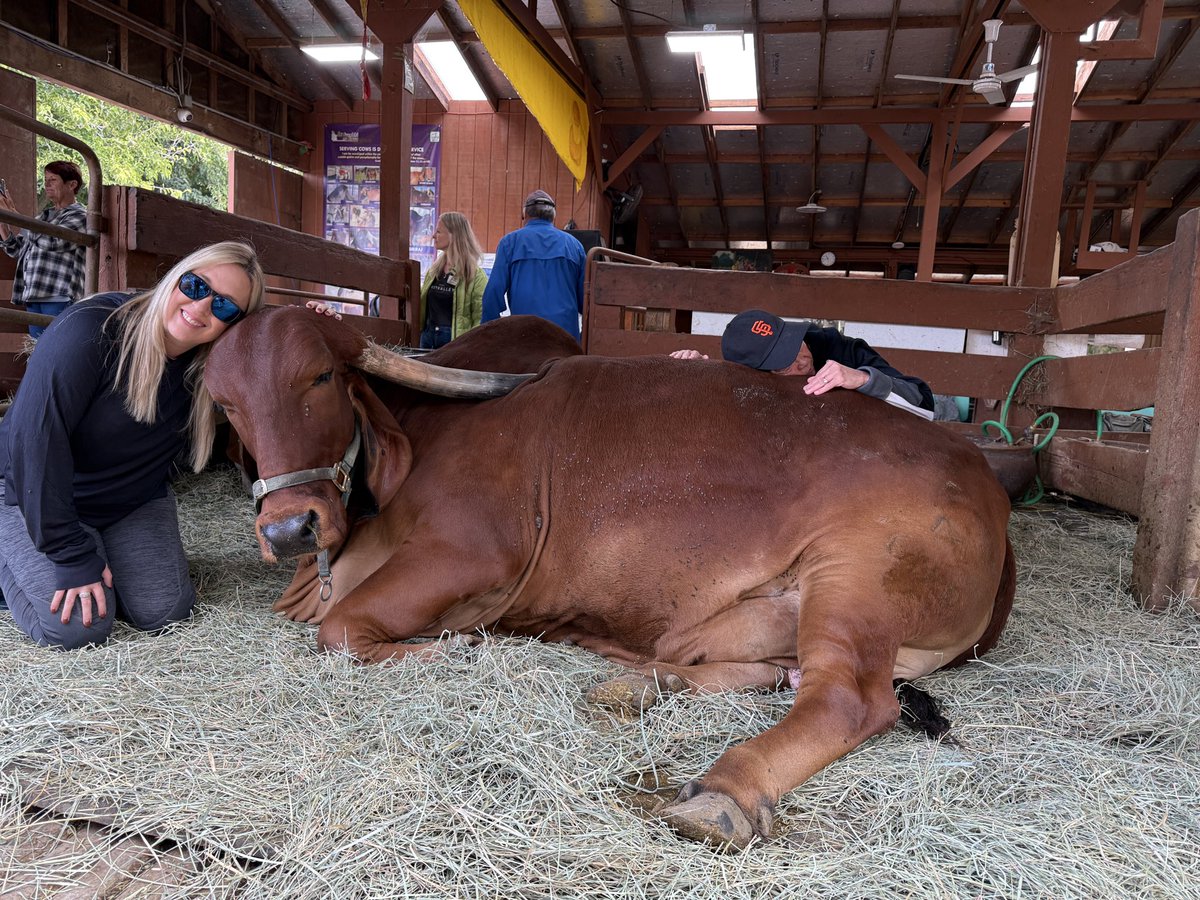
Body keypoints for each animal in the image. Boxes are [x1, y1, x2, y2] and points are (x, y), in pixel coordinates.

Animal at [204, 307, 1015, 850]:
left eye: (319, 377)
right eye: (227, 404)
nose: (288, 529)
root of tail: (987, 483)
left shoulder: (470, 551)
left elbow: (342, 632)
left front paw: (457, 648)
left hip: (855, 571)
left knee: (848, 697)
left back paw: (723, 791)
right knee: (763, 674)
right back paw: (636, 686)